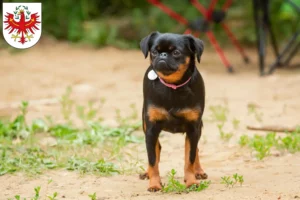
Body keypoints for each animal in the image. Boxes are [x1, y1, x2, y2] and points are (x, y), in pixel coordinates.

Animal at [139, 31, 207, 192]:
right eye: (154, 51)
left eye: (176, 53)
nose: (162, 55)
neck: (173, 86)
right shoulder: (151, 130)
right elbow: (152, 159)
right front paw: (154, 183)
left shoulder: (193, 129)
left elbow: (190, 157)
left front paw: (191, 181)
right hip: (145, 125)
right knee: (156, 149)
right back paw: (147, 173)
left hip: (199, 128)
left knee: (196, 150)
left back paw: (199, 171)